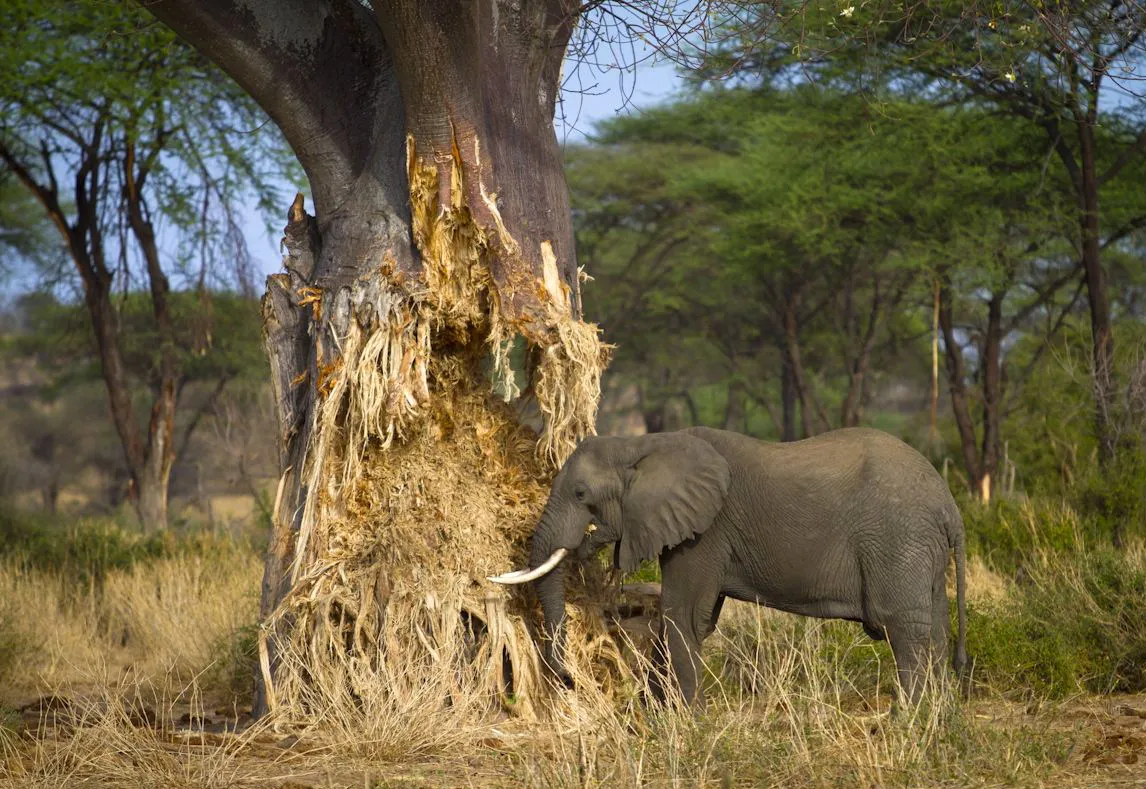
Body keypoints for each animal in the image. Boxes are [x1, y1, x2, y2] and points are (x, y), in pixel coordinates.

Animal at [490, 426, 968, 706]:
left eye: (580, 494)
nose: (569, 681)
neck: (645, 443)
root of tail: (950, 507)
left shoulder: (706, 531)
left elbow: (683, 615)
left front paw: (686, 722)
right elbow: (688, 620)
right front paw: (658, 711)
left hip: (898, 541)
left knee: (902, 629)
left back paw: (909, 722)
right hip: (919, 551)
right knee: (935, 627)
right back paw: (942, 724)